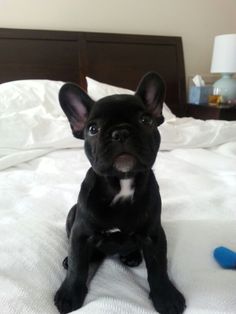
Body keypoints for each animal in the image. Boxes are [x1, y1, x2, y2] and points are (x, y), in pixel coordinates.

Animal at [54, 72, 185, 312]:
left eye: (146, 121)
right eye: (92, 129)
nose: (121, 132)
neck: (121, 183)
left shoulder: (153, 235)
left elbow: (158, 267)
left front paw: (166, 297)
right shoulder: (80, 233)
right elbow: (78, 267)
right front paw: (69, 295)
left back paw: (132, 256)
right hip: (71, 214)